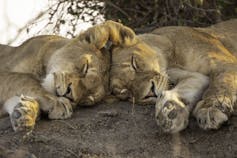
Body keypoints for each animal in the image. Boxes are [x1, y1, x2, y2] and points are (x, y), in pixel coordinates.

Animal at [0, 21, 135, 132]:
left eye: (87, 98)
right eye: (85, 68)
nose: (70, 95)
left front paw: (24, 112)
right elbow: (25, 79)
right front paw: (57, 103)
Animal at [84, 20, 237, 133]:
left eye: (134, 64)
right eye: (126, 93)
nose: (150, 93)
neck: (171, 59)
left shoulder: (225, 63)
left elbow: (220, 84)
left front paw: (211, 110)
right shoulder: (192, 76)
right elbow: (187, 88)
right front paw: (171, 112)